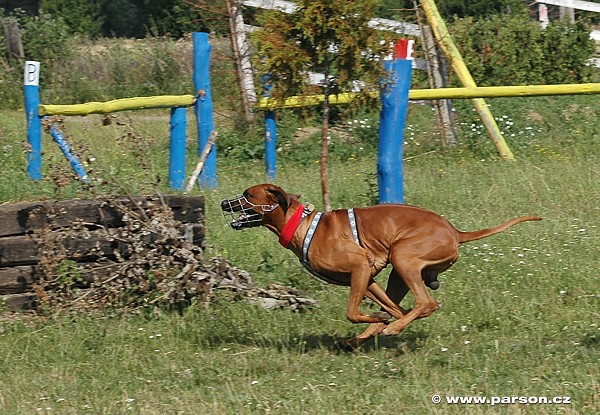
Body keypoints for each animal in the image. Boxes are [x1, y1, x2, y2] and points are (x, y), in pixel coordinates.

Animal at [221, 184, 544, 350]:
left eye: (248, 195)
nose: (224, 203)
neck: (300, 223)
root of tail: (455, 232)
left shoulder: (359, 268)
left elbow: (353, 312)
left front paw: (385, 322)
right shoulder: (368, 278)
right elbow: (388, 308)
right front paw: (385, 320)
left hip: (403, 256)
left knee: (427, 303)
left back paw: (391, 329)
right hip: (398, 274)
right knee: (408, 305)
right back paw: (370, 334)